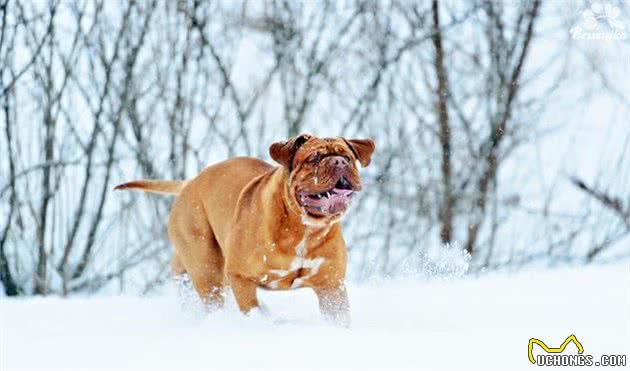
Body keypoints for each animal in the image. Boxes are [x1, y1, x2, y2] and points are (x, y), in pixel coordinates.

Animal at [115, 134, 376, 326]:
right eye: (314, 158)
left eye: (348, 157)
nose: (338, 162)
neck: (304, 229)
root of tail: (190, 183)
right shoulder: (241, 277)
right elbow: (251, 307)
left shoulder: (331, 287)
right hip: (206, 265)